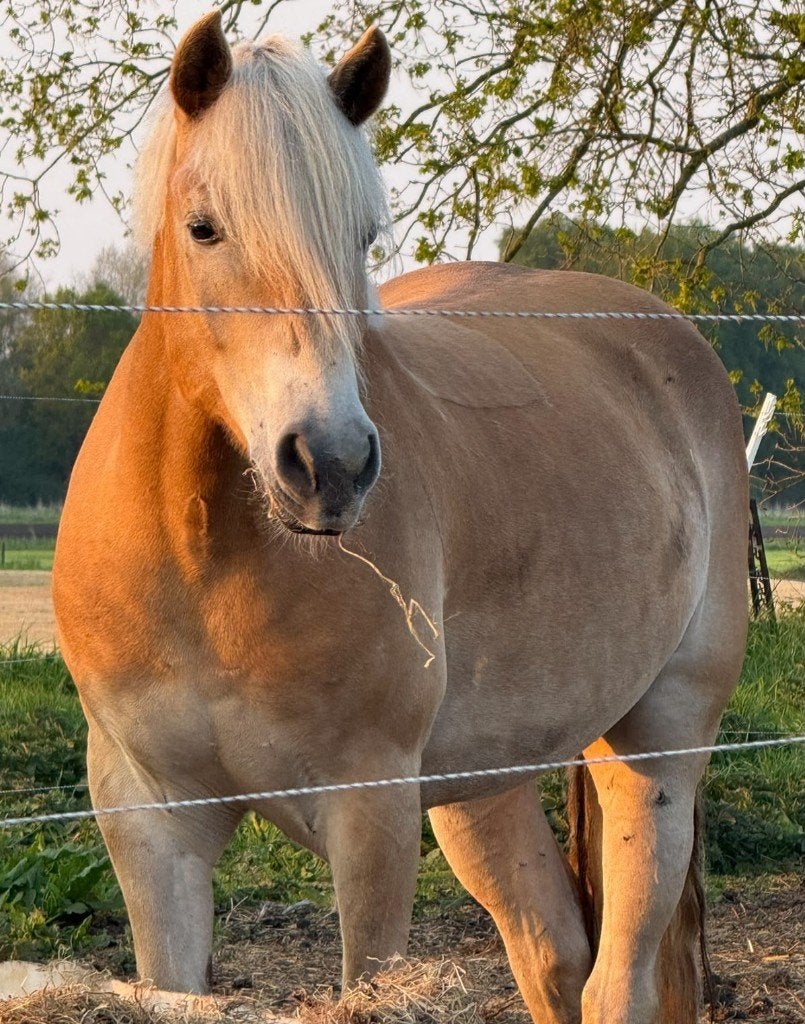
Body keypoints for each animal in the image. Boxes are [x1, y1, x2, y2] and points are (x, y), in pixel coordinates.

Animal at [52, 12, 748, 1024]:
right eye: (204, 227)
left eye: (361, 234)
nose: (330, 463)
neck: (201, 563)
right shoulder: (150, 824)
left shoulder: (370, 815)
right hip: (481, 783)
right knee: (552, 956)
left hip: (658, 743)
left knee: (617, 973)